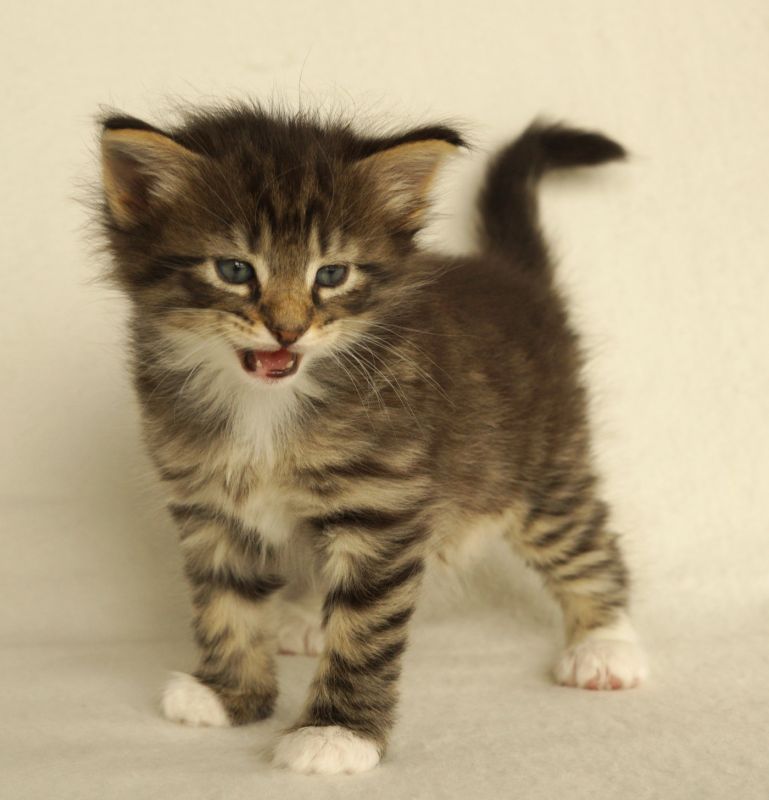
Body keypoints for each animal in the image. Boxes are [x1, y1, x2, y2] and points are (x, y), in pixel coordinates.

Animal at [97, 106, 648, 776]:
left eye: (332, 275)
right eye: (234, 270)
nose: (288, 330)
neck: (266, 407)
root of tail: (513, 276)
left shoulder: (383, 504)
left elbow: (364, 631)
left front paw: (335, 733)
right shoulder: (212, 503)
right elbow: (225, 601)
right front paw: (229, 694)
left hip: (544, 467)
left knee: (587, 542)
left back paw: (606, 645)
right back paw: (306, 618)